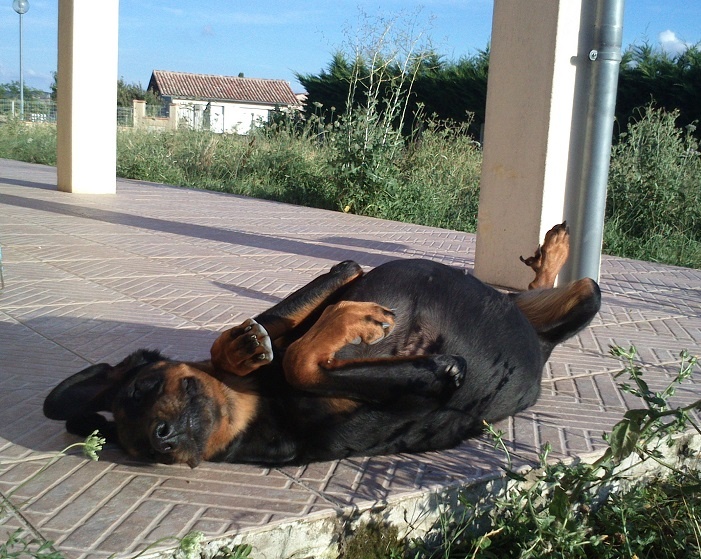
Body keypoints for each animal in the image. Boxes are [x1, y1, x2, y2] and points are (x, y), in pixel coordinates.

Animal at [45, 223, 600, 468]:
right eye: (144, 451)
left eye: (140, 389)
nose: (163, 436)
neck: (261, 405)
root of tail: (542, 348)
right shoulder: (411, 404)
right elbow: (299, 359)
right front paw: (355, 323)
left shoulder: (344, 273)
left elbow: (277, 335)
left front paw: (243, 345)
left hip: (576, 296)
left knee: (548, 287)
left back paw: (553, 250)